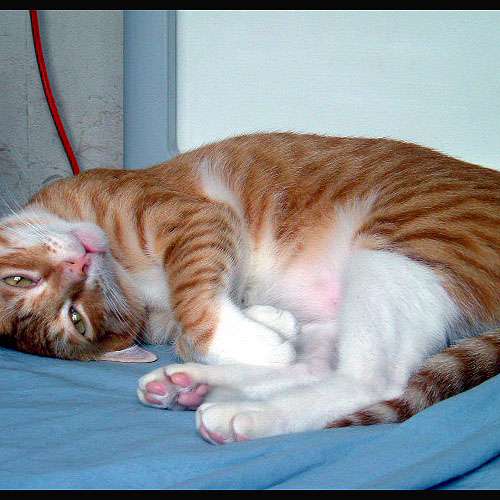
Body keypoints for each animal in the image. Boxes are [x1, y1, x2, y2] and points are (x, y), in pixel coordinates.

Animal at [0, 132, 498, 443]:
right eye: (78, 319)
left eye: (17, 279)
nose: (78, 263)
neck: (127, 277)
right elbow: (192, 327)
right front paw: (269, 328)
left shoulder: (193, 217)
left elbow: (192, 294)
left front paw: (258, 335)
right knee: (322, 366)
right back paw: (191, 387)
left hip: (400, 248)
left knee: (372, 380)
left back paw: (246, 411)